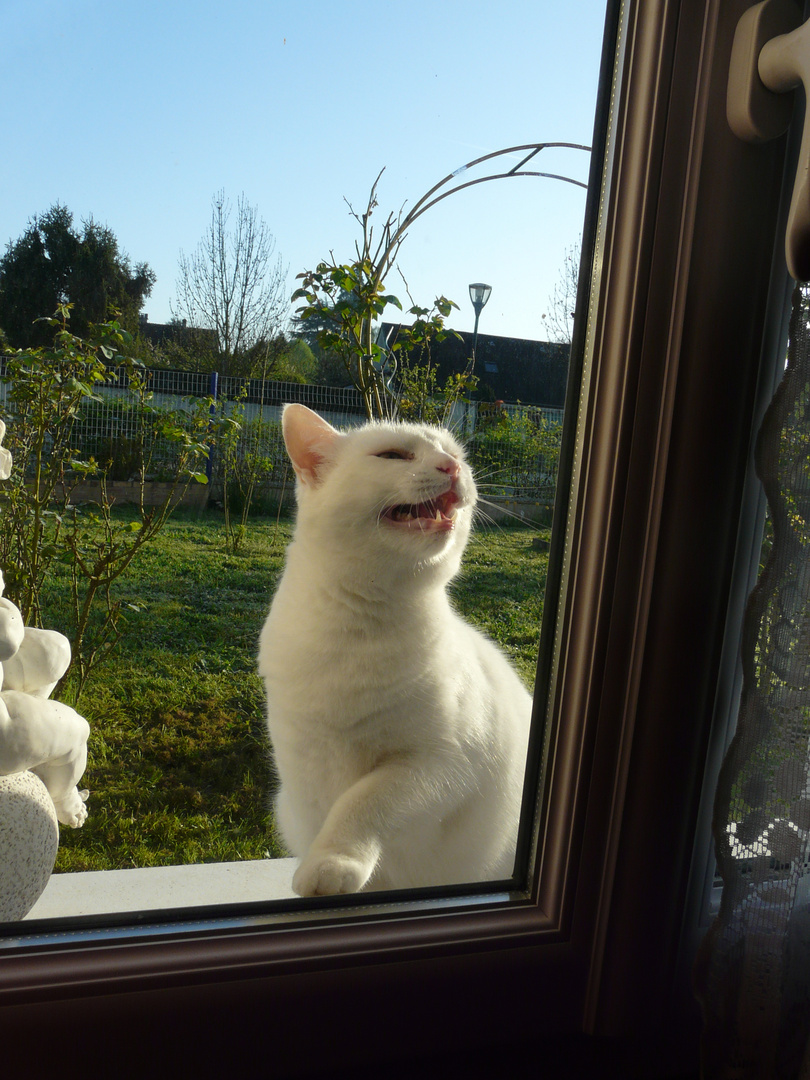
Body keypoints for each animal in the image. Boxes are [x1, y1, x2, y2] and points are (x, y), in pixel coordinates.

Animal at [258, 403, 533, 894]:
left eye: (455, 453)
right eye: (392, 455)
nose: (451, 466)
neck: (362, 631)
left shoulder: (437, 762)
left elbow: (362, 803)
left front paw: (333, 863)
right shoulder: (305, 766)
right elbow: (328, 815)